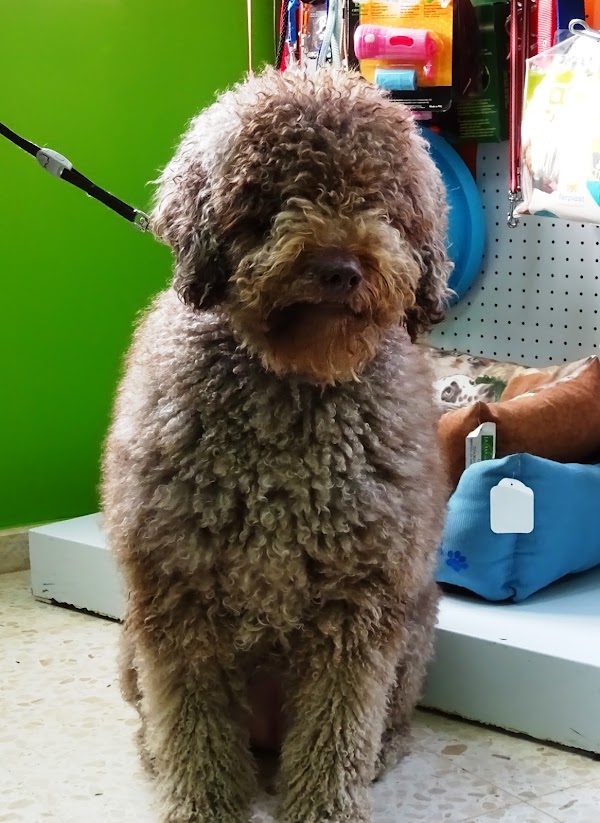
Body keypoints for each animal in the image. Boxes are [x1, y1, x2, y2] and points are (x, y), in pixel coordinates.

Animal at [102, 66, 450, 823]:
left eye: (381, 200)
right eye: (275, 195)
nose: (341, 266)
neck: (294, 383)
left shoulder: (359, 606)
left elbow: (335, 731)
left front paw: (325, 808)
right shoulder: (178, 598)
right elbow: (194, 726)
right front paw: (204, 806)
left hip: (413, 632)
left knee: (384, 721)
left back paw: (382, 752)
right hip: (131, 646)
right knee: (158, 720)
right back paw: (155, 754)